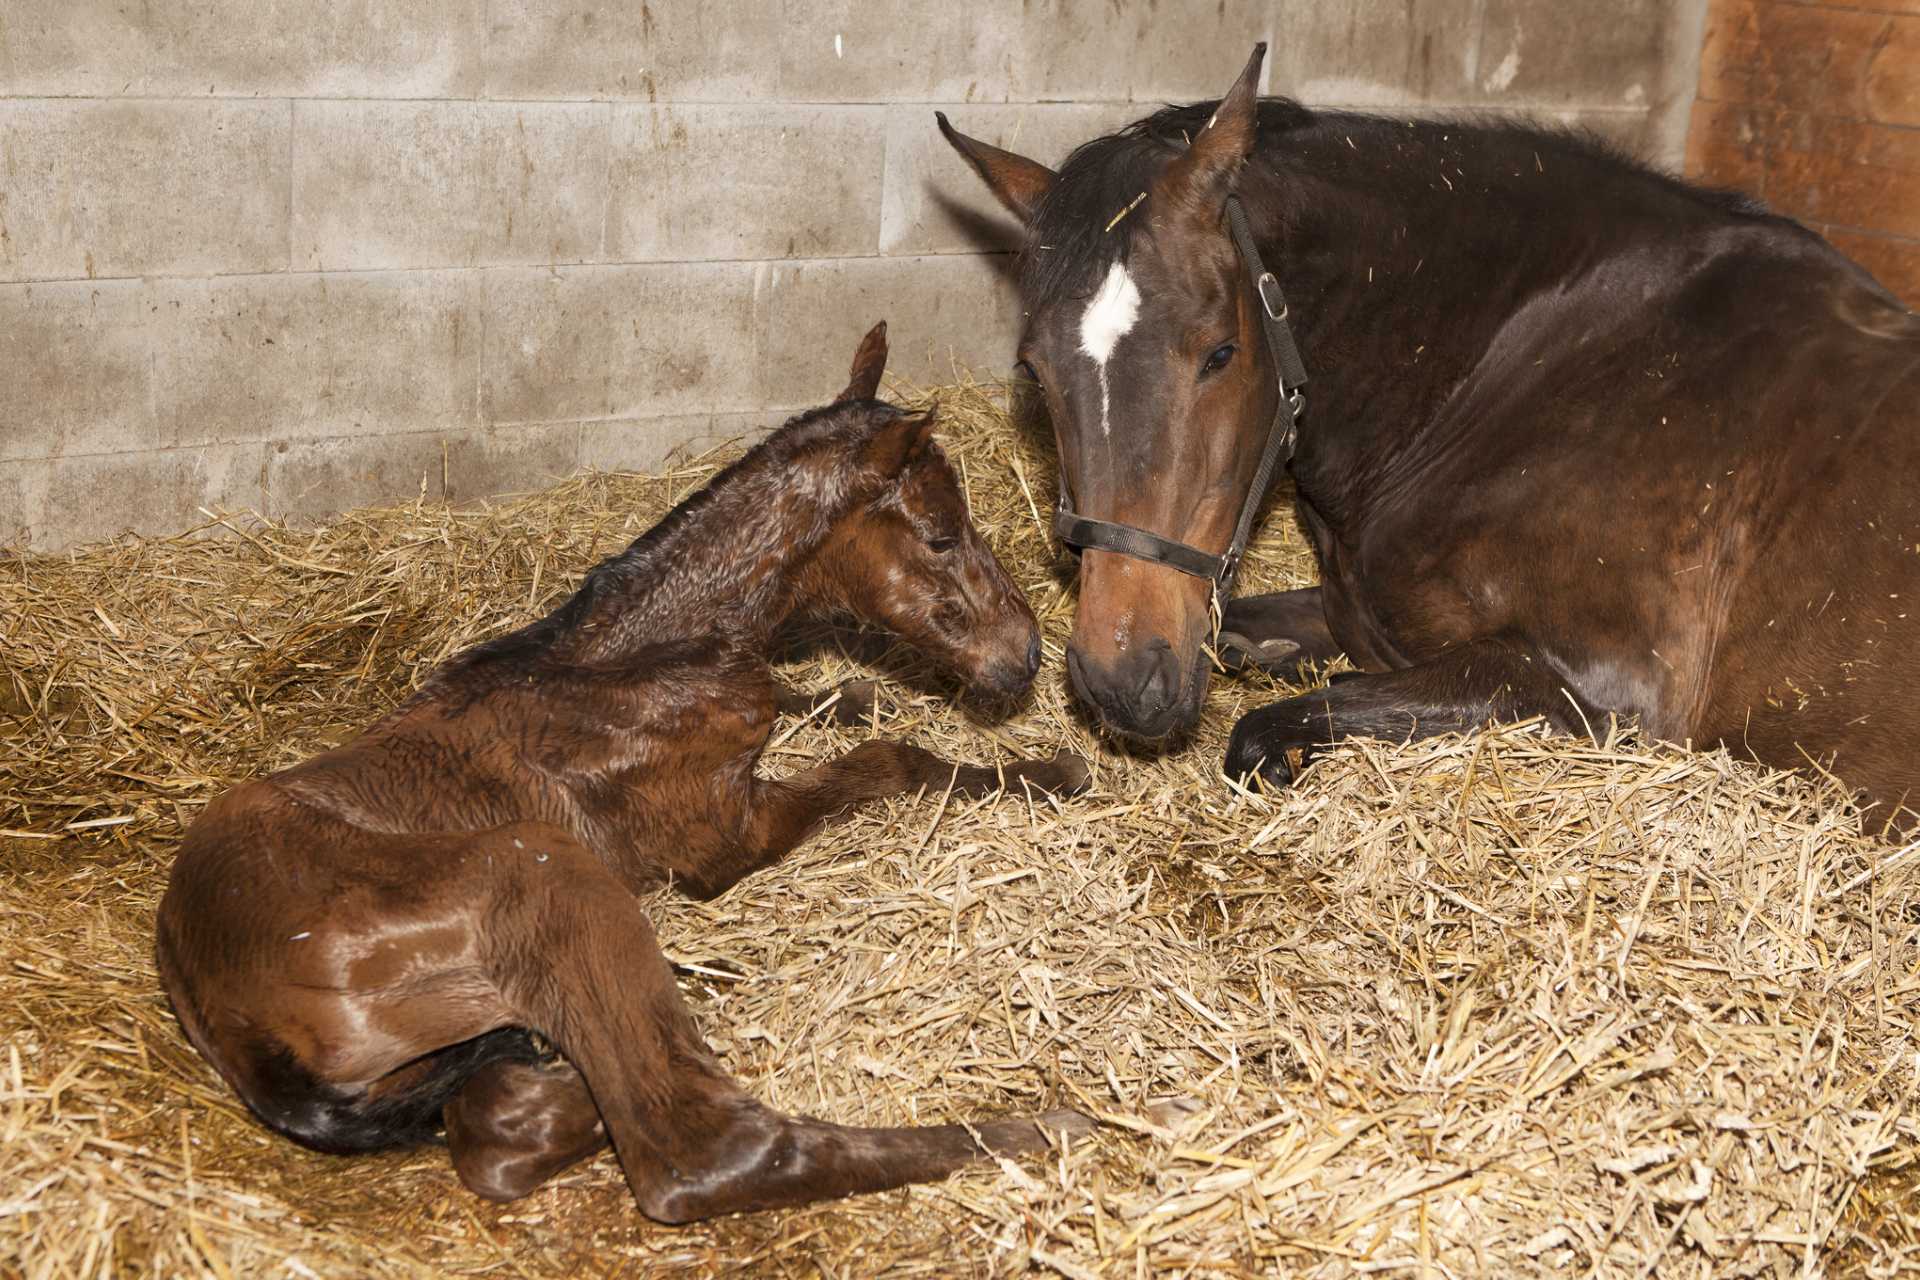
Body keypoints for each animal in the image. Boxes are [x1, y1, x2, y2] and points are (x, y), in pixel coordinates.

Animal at [161, 326, 1098, 1228]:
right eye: (940, 535)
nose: (1027, 655)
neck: (644, 661)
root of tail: (222, 1007)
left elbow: (825, 706)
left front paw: (851, 693)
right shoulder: (725, 838)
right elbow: (892, 760)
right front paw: (1051, 769)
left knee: (501, 1118)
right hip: (543, 873)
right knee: (697, 1150)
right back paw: (1042, 1127)